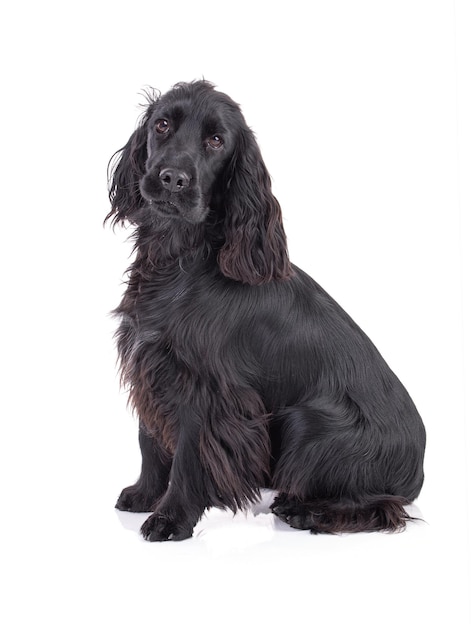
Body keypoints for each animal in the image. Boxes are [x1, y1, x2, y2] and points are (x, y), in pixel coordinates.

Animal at [108, 80, 428, 540]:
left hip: (308, 423)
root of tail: (418, 470)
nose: (172, 178)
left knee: (383, 507)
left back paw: (304, 510)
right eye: (162, 124)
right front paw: (143, 494)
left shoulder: (207, 392)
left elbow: (188, 455)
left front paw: (171, 518)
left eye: (216, 140)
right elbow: (148, 439)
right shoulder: (150, 364)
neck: (181, 257)